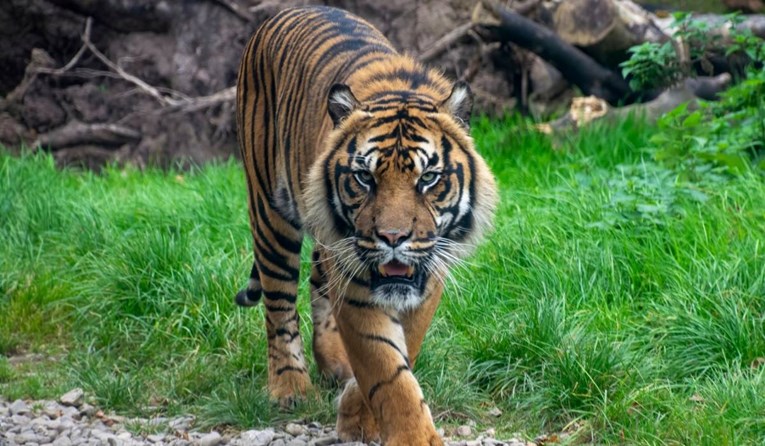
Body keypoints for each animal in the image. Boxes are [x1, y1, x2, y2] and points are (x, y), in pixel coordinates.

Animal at [234, 5, 496, 444]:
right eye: (365, 177)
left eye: (428, 178)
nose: (392, 237)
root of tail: (286, 11)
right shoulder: (357, 283)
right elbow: (386, 369)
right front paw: (409, 435)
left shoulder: (427, 275)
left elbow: (402, 349)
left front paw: (358, 413)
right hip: (270, 212)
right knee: (279, 304)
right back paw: (290, 387)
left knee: (317, 280)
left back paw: (335, 363)